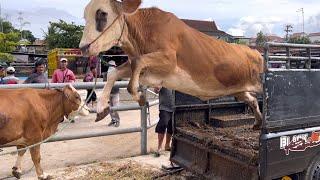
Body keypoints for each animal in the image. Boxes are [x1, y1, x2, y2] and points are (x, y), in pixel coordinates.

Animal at [79, 0, 264, 129]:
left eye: (103, 13)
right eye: (85, 16)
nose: (83, 47)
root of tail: (255, 52)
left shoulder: (169, 60)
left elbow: (136, 69)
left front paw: (140, 97)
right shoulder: (141, 68)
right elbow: (113, 73)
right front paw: (101, 108)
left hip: (259, 84)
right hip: (238, 90)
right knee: (252, 100)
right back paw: (258, 123)